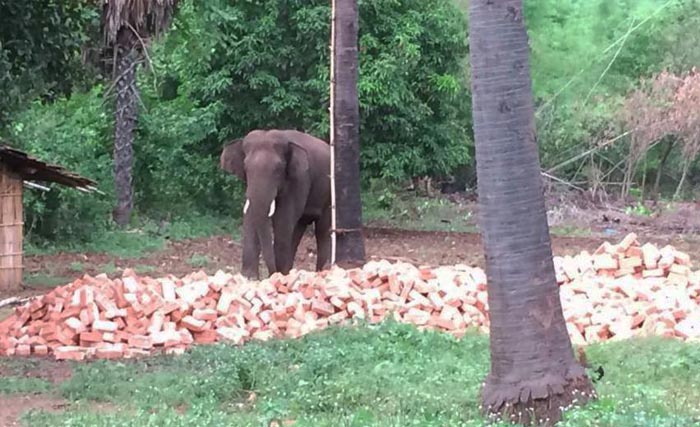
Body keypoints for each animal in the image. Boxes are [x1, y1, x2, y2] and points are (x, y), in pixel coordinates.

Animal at [220, 129, 332, 280]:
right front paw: (249, 277)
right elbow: (250, 217)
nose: (270, 273)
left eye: (278, 168)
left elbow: (282, 220)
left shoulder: (299, 179)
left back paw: (320, 271)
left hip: (328, 195)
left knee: (322, 231)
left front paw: (276, 275)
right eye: (245, 167)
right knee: (298, 229)